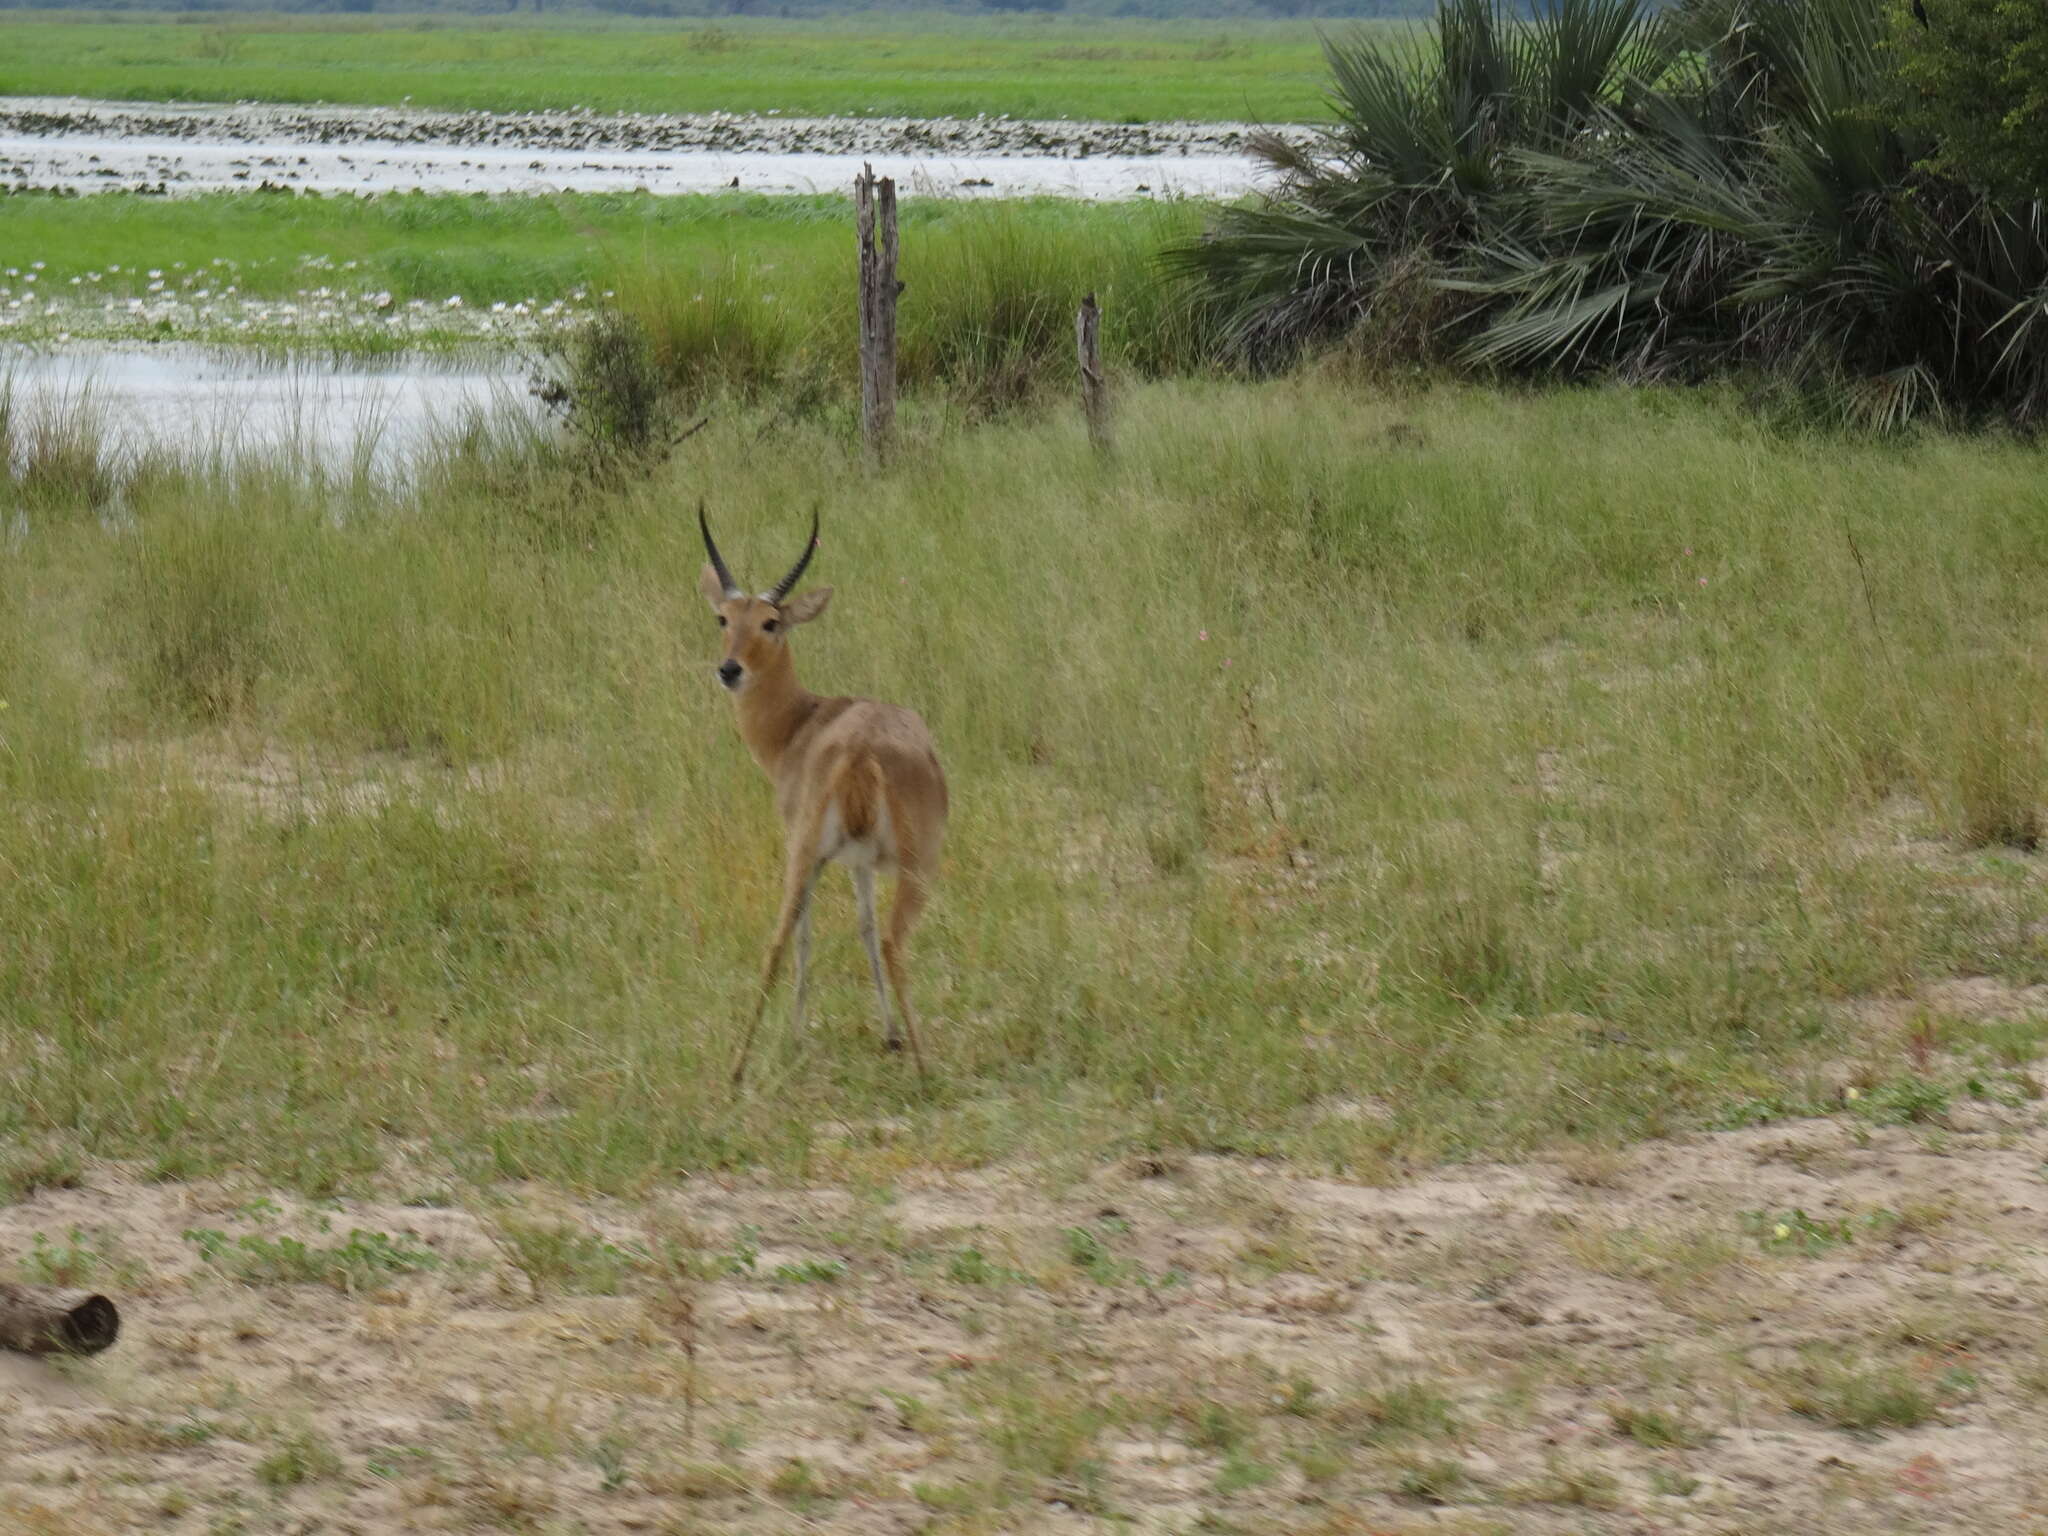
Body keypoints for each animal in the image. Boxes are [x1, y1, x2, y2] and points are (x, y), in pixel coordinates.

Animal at [704, 512, 950, 1089]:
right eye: (724, 617)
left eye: (770, 622)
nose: (730, 670)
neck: (802, 723)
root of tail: (861, 751)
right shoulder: (850, 861)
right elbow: (855, 929)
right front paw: (888, 1035)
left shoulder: (829, 858)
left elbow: (822, 934)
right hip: (900, 864)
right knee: (887, 940)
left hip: (812, 854)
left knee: (781, 941)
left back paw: (738, 1068)